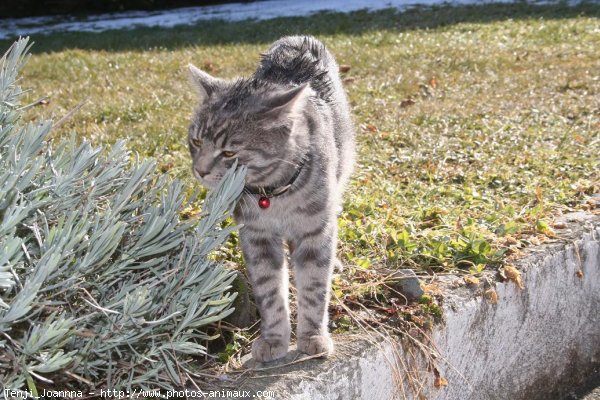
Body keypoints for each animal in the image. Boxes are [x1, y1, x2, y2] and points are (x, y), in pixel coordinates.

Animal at [188, 36, 354, 362]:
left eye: (229, 152)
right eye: (197, 141)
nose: (200, 170)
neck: (273, 195)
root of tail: (297, 39)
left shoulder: (315, 230)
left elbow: (314, 286)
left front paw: (313, 336)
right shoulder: (257, 236)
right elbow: (269, 290)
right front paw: (275, 339)